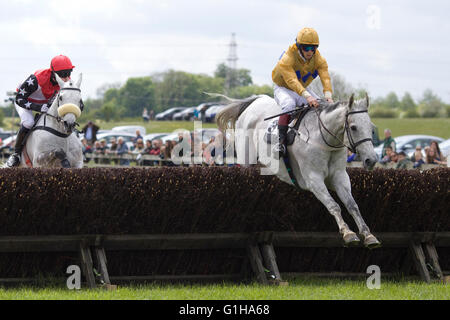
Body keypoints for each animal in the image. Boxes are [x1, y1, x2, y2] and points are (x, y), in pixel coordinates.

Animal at [216, 94, 382, 249]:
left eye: (371, 127)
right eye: (353, 127)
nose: (371, 160)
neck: (324, 139)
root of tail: (255, 100)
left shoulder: (339, 176)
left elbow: (352, 205)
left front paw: (368, 235)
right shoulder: (313, 179)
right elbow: (333, 205)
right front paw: (348, 233)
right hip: (246, 161)